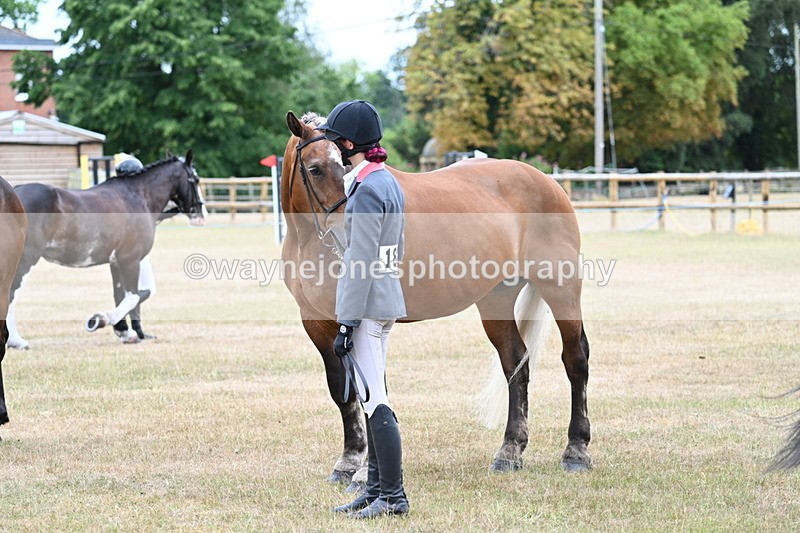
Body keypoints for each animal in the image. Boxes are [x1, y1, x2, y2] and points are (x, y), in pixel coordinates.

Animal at [6, 150, 206, 349]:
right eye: (195, 179)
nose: (201, 215)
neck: (138, 197)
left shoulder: (116, 262)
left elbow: (120, 295)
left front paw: (124, 331)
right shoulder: (130, 259)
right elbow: (132, 297)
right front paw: (100, 320)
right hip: (25, 259)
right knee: (10, 294)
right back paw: (16, 341)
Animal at [282, 111, 591, 486]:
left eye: (345, 165)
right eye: (314, 169)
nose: (349, 233)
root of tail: (545, 180)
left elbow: (372, 391)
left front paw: (365, 472)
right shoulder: (316, 323)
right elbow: (343, 390)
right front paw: (348, 461)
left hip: (561, 289)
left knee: (575, 360)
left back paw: (576, 451)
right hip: (496, 300)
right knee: (516, 363)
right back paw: (509, 452)